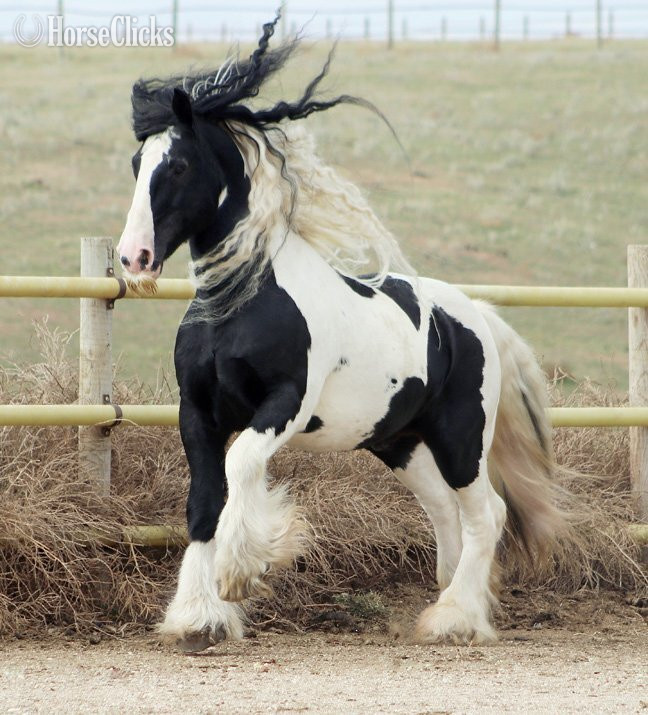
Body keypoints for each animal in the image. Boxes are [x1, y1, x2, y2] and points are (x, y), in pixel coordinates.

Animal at [117, 18, 564, 653]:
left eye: (177, 165)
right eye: (138, 162)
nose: (134, 257)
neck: (242, 301)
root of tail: (475, 315)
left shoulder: (285, 404)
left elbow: (242, 467)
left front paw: (241, 572)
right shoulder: (196, 412)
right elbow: (203, 503)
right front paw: (197, 618)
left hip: (460, 438)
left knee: (487, 514)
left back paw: (455, 619)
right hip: (399, 442)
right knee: (445, 512)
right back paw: (449, 600)